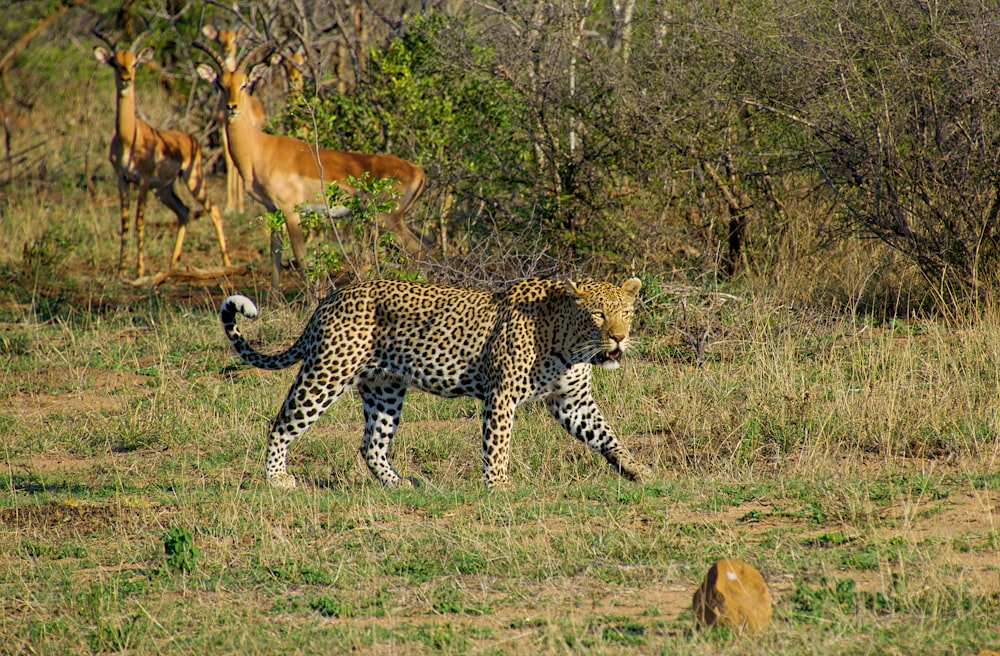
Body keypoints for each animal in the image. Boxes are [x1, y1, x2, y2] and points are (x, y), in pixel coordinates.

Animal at [220, 276, 652, 486]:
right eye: (598, 315)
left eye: (626, 312)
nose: (619, 337)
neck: (571, 343)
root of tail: (331, 298)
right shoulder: (501, 396)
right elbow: (498, 446)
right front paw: (498, 486)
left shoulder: (573, 402)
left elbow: (607, 435)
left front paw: (637, 470)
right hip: (327, 373)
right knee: (281, 423)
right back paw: (277, 479)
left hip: (385, 387)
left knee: (372, 445)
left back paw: (399, 485)